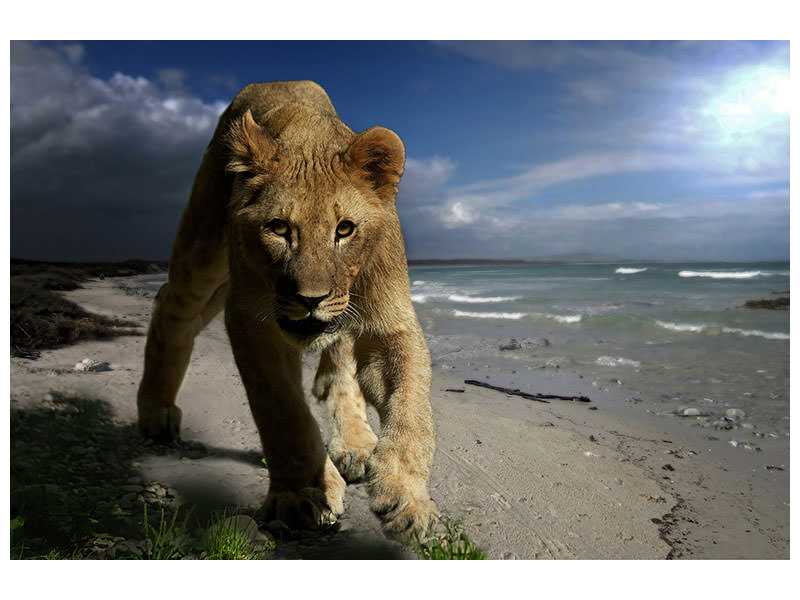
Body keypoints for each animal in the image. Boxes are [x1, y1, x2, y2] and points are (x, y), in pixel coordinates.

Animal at [136, 80, 437, 540]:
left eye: (344, 230)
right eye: (279, 229)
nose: (311, 299)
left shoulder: (389, 323)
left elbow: (412, 408)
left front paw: (406, 497)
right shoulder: (250, 320)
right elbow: (282, 412)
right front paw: (301, 494)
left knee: (339, 366)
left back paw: (355, 444)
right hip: (203, 244)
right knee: (172, 303)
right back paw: (155, 411)